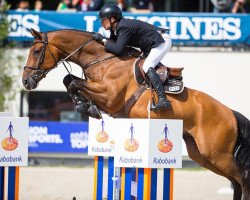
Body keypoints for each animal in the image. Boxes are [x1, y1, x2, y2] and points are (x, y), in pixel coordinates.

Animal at [22, 28, 250, 199]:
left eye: (36, 51)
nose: (26, 81)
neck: (102, 60)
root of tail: (230, 112)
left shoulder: (109, 95)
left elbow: (73, 82)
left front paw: (86, 107)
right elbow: (69, 80)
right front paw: (85, 105)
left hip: (216, 153)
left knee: (242, 178)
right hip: (202, 154)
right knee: (235, 180)